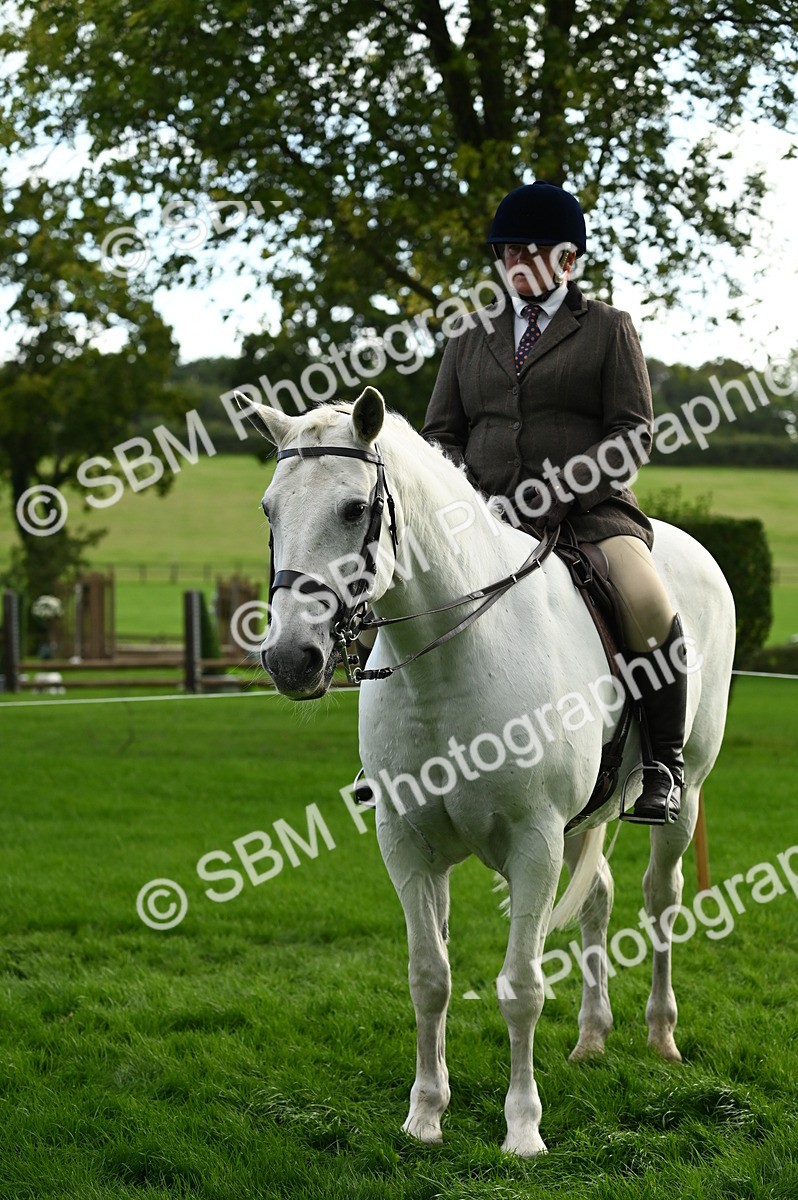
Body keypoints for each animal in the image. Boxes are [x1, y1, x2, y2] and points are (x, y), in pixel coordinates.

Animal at [246, 386, 736, 1157]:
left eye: (353, 510)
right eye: (270, 509)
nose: (291, 660)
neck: (449, 660)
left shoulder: (535, 843)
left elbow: (521, 985)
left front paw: (523, 1129)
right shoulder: (408, 845)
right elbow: (429, 977)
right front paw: (424, 1116)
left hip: (682, 799)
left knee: (661, 896)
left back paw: (661, 1036)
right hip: (586, 820)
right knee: (599, 898)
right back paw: (592, 1038)